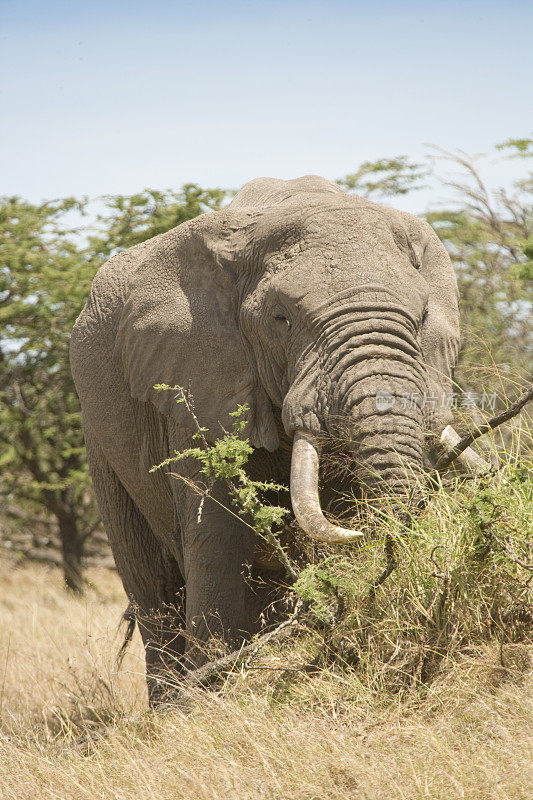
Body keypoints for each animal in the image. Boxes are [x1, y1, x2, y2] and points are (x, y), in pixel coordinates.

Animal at [69, 175, 462, 700]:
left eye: (420, 318)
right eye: (281, 319)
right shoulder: (195, 375)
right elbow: (218, 531)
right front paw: (205, 702)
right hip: (99, 435)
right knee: (152, 584)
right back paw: (169, 705)